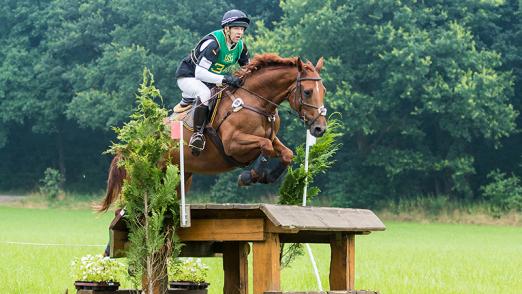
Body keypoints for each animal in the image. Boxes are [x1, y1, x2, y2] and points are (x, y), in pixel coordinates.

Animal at [97, 51, 324, 210]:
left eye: (324, 90)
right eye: (307, 91)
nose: (320, 128)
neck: (257, 101)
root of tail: (132, 144)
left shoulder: (272, 137)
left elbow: (286, 153)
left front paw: (268, 177)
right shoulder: (233, 144)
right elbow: (265, 146)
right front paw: (249, 176)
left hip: (180, 179)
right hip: (140, 180)